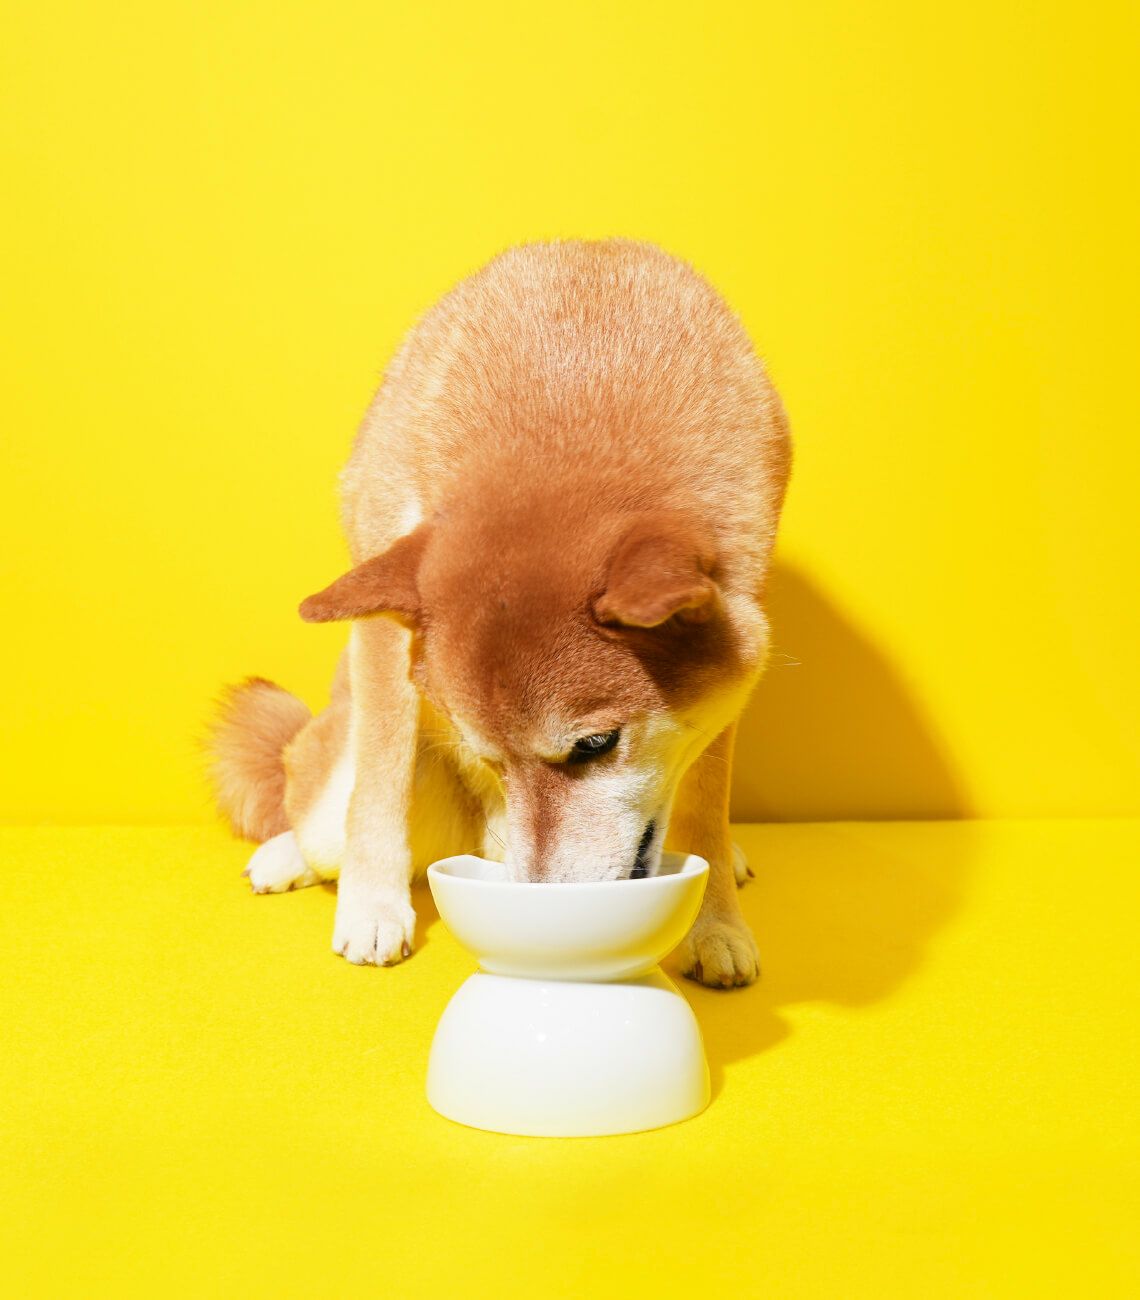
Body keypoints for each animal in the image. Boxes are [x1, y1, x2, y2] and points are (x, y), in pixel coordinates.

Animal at [207, 239, 791, 988]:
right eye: (489, 759)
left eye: (596, 745)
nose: (541, 902)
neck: (578, 390)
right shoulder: (384, 619)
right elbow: (378, 784)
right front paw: (372, 906)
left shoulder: (742, 629)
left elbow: (704, 807)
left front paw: (715, 922)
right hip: (338, 774)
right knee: (313, 807)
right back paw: (284, 856)